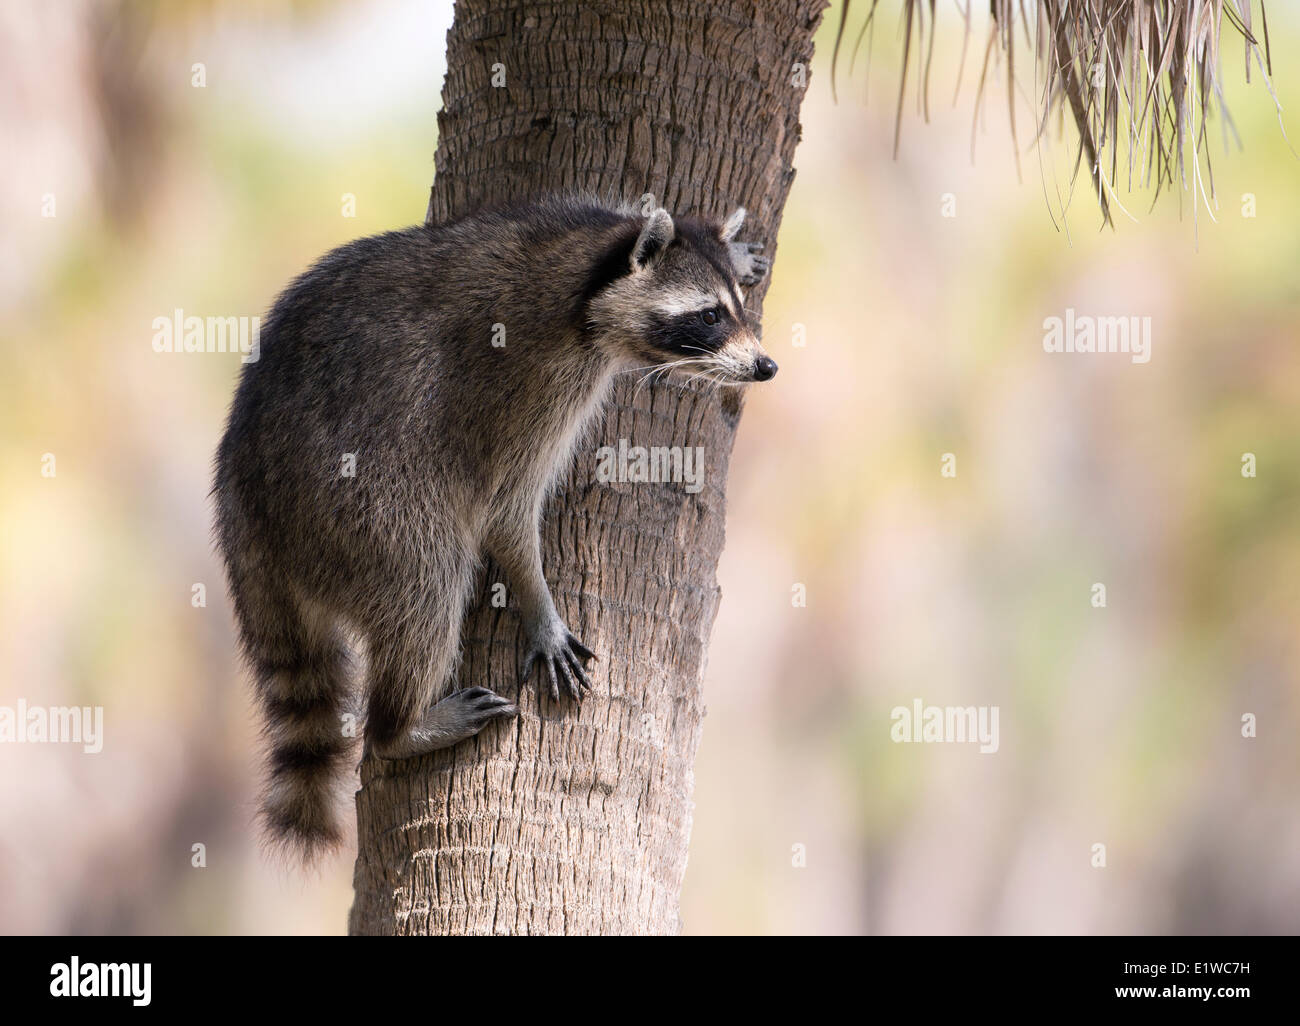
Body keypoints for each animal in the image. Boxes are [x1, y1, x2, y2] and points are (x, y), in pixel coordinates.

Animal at [213, 193, 774, 858]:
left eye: (733, 310)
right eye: (708, 317)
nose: (766, 366)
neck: (586, 273)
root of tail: (243, 498)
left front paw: (733, 246)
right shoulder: (524, 384)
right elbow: (504, 509)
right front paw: (539, 605)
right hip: (357, 506)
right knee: (426, 584)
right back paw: (399, 726)